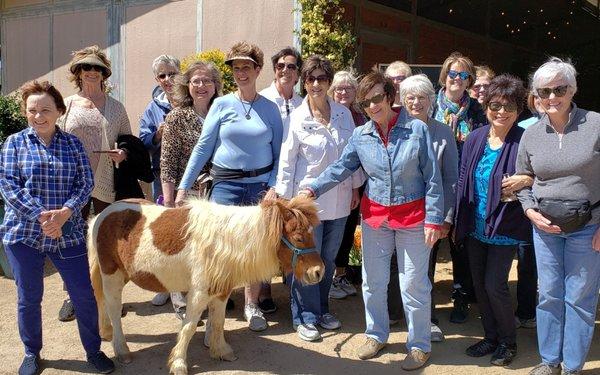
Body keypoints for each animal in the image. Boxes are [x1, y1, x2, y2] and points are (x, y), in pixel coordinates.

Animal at [85, 197, 324, 375]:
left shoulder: (221, 292)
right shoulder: (199, 293)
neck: (224, 243)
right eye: (299, 237)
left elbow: (218, 323)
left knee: (102, 303)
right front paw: (179, 363)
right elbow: (189, 327)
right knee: (113, 309)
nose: (318, 272)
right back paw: (122, 350)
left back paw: (106, 333)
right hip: (112, 275)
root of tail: (102, 215)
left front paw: (221, 351)